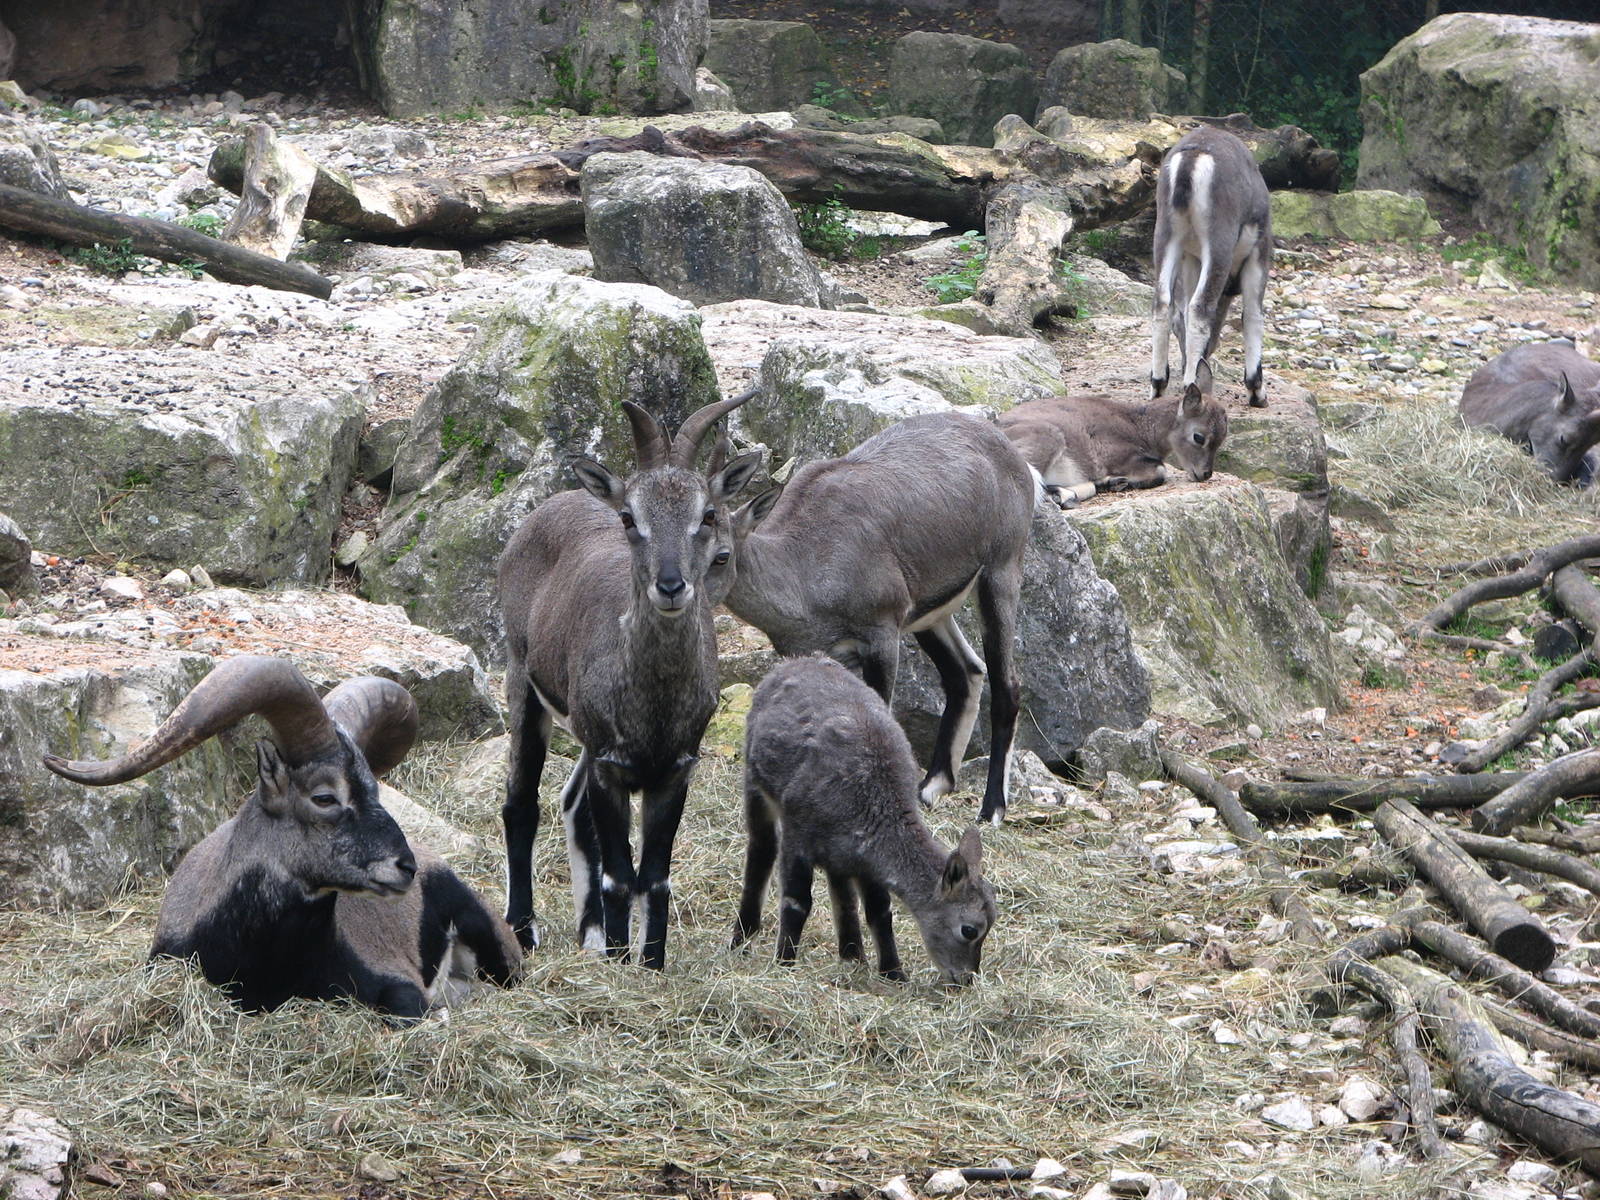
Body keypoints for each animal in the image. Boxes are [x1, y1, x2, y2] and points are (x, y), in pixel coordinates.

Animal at [498, 392, 766, 967]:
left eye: (707, 514)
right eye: (629, 516)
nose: (671, 585)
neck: (655, 704)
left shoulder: (675, 769)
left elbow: (656, 877)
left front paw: (650, 961)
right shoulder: (611, 766)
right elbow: (620, 874)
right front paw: (624, 963)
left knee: (571, 806)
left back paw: (591, 933)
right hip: (522, 679)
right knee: (521, 804)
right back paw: (525, 929)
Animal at [732, 655, 997, 986]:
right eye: (969, 930)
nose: (966, 978)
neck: (874, 802)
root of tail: (795, 662)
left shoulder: (866, 860)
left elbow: (879, 910)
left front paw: (894, 972)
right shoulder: (798, 836)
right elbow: (796, 901)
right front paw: (784, 963)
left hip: (837, 855)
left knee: (841, 891)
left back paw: (852, 954)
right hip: (756, 787)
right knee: (762, 850)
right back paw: (742, 937)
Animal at [998, 386, 1229, 507]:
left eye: (1222, 439)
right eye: (1199, 437)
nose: (1205, 473)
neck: (1139, 427)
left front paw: (1112, 482)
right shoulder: (1117, 455)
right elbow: (1160, 471)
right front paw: (1119, 480)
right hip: (1046, 437)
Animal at [1151, 124, 1272, 408]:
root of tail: (1190, 160)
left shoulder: (1191, 258)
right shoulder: (1258, 253)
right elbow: (1252, 315)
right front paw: (1257, 392)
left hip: (1167, 235)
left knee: (1164, 302)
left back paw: (1159, 384)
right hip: (1218, 241)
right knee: (1200, 306)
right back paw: (1190, 383)